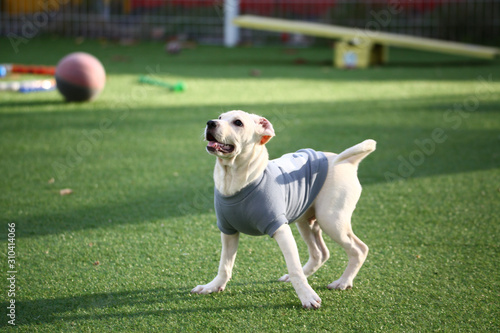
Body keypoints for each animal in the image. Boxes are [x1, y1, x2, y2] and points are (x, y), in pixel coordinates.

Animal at [191, 110, 376, 308]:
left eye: (238, 123)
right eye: (219, 117)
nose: (210, 123)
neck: (235, 180)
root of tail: (347, 162)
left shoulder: (280, 228)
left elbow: (294, 268)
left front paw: (307, 297)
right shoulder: (228, 231)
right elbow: (224, 266)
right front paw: (212, 287)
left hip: (331, 219)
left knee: (359, 249)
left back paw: (343, 282)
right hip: (307, 221)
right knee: (320, 253)